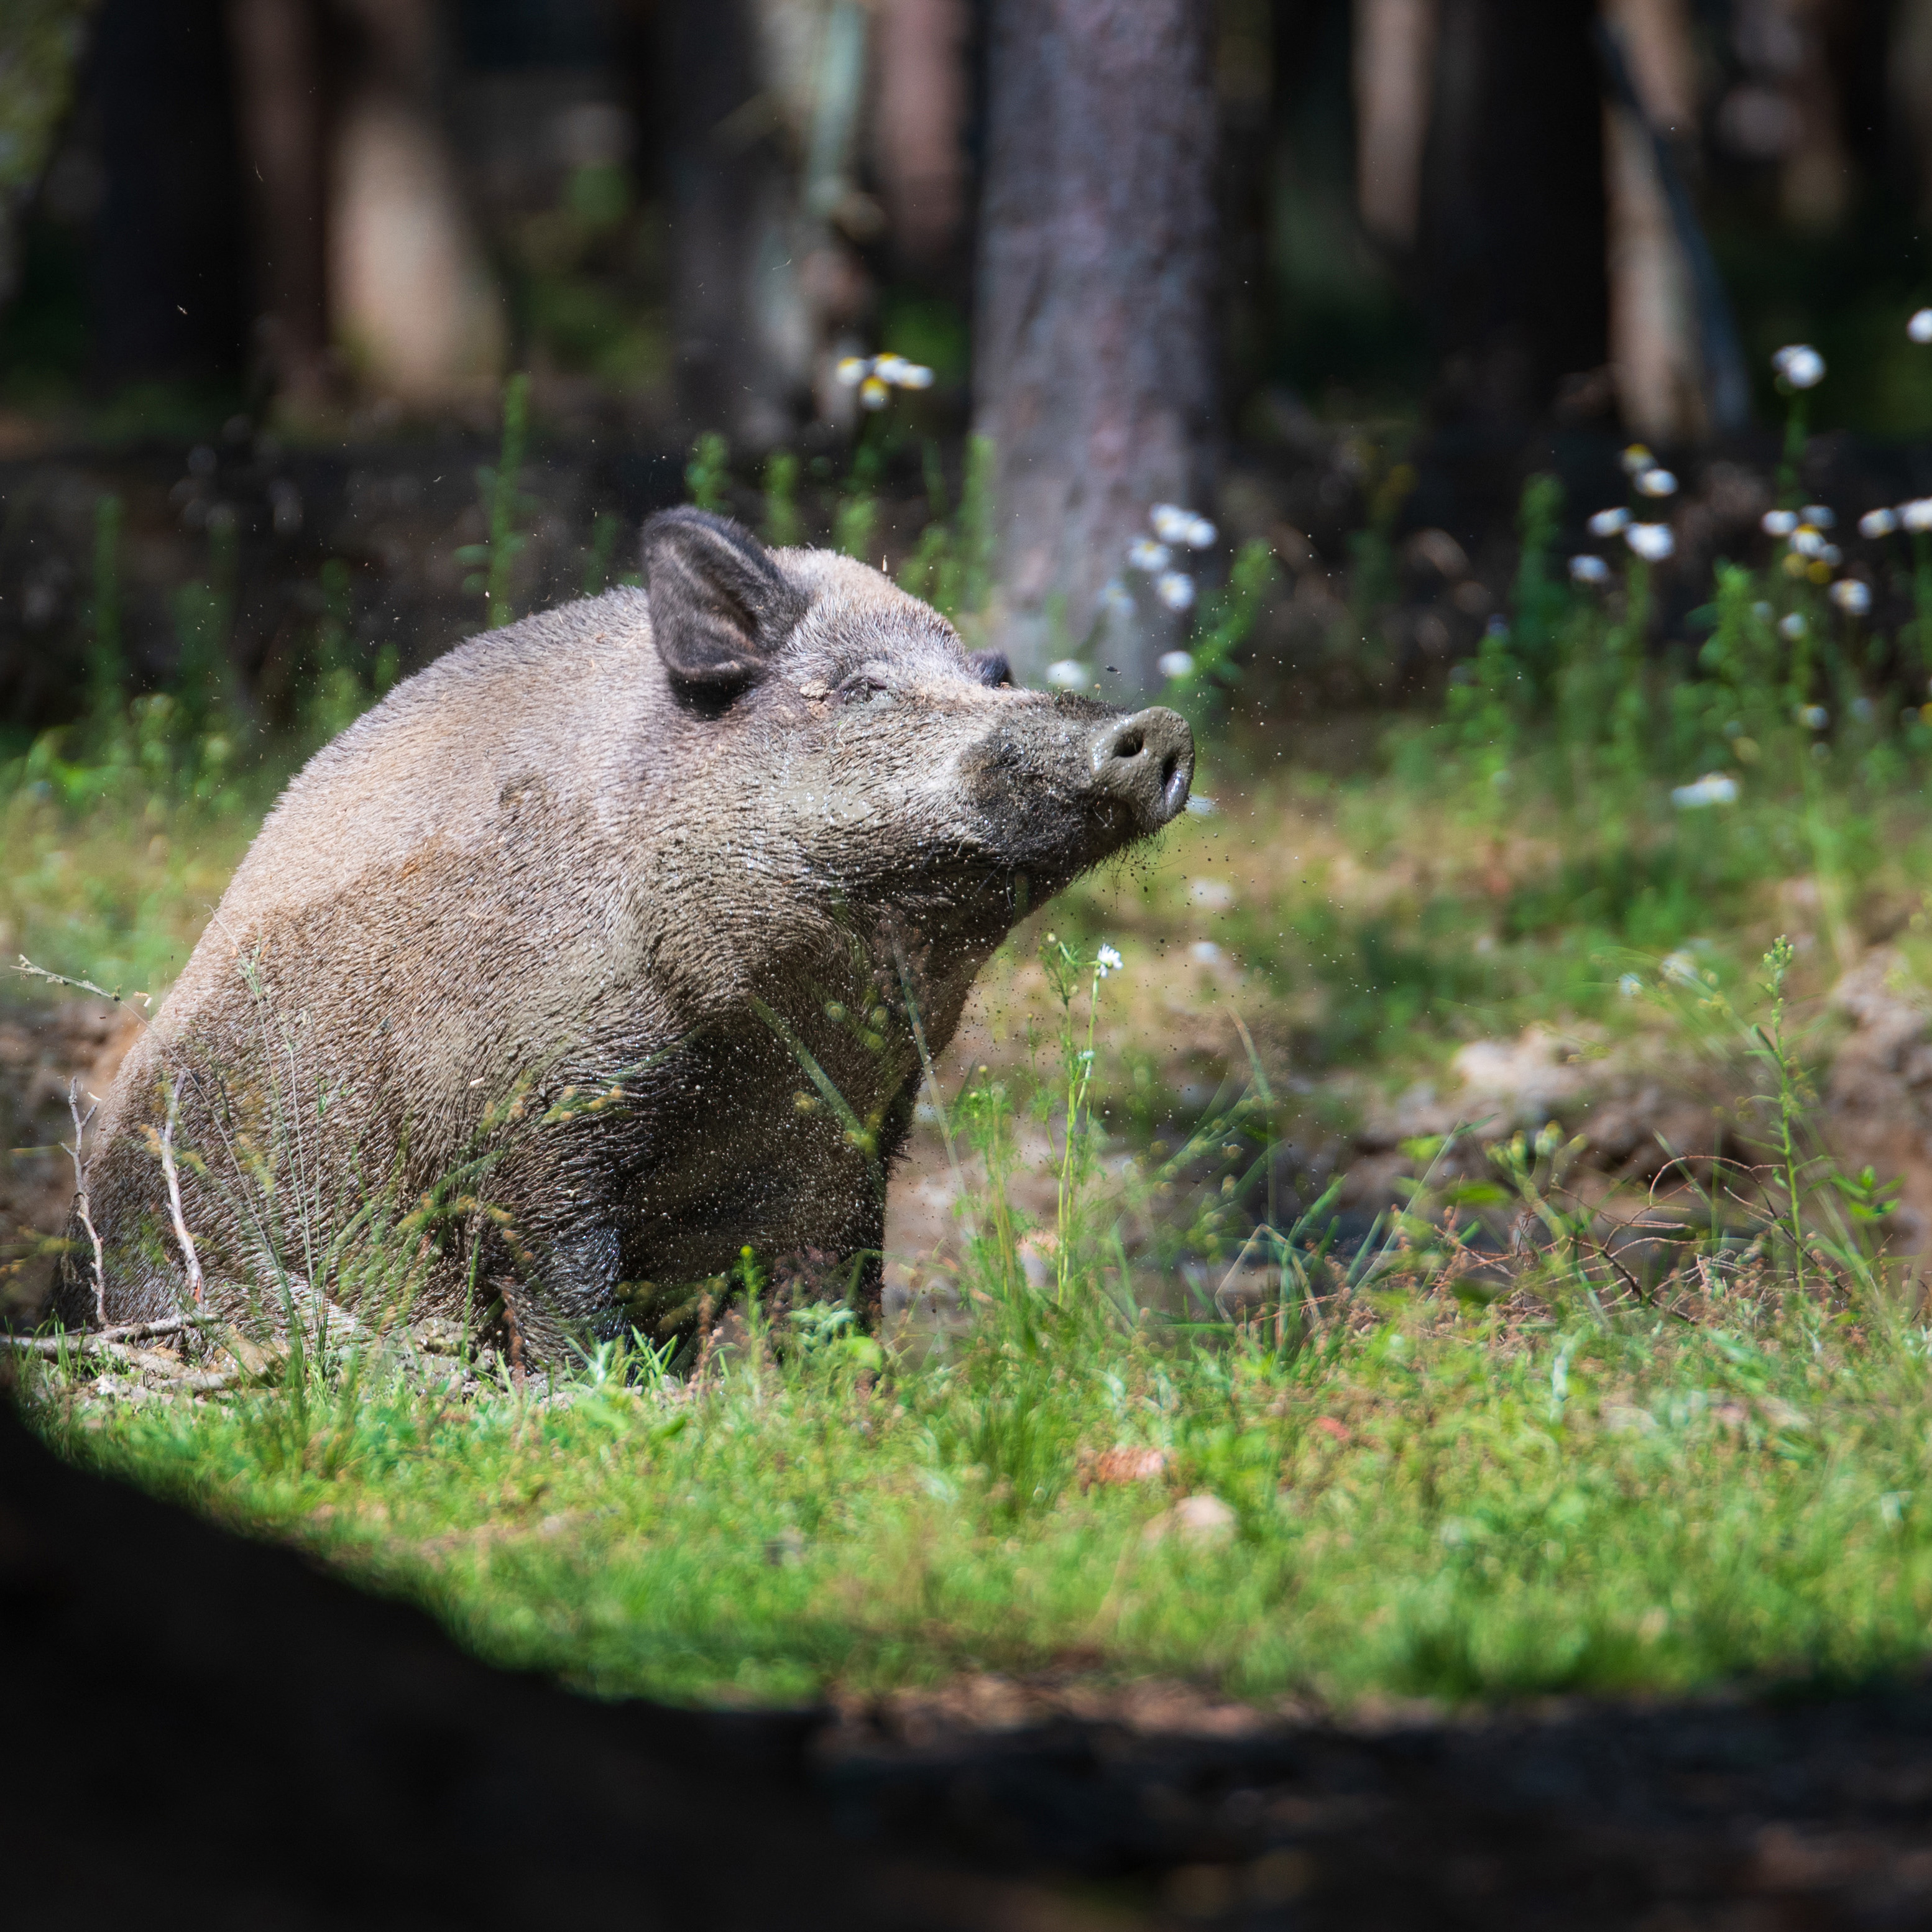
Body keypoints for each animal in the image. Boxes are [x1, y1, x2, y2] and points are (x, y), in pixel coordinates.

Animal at [58, 510, 1194, 1359]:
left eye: (993, 677)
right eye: (865, 690)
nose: (1161, 727)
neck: (772, 1037)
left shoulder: (854, 1138)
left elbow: (836, 1309)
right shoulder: (531, 1120)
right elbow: (568, 1299)